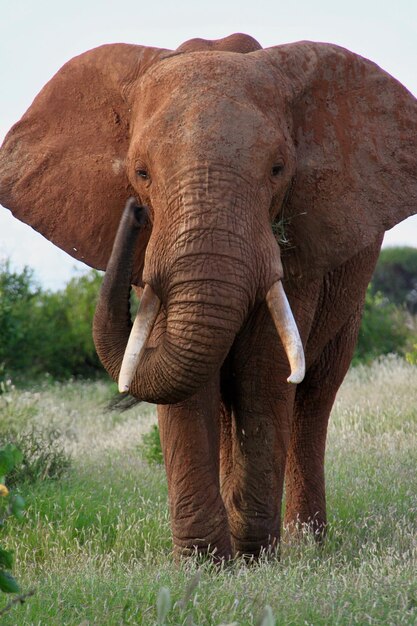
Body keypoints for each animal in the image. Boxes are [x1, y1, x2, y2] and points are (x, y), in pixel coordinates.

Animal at [0, 31, 414, 560]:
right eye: (141, 173)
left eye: (278, 169)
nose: (135, 213)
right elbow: (187, 387)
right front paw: (207, 562)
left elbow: (264, 371)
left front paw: (255, 558)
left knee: (316, 395)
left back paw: (308, 545)